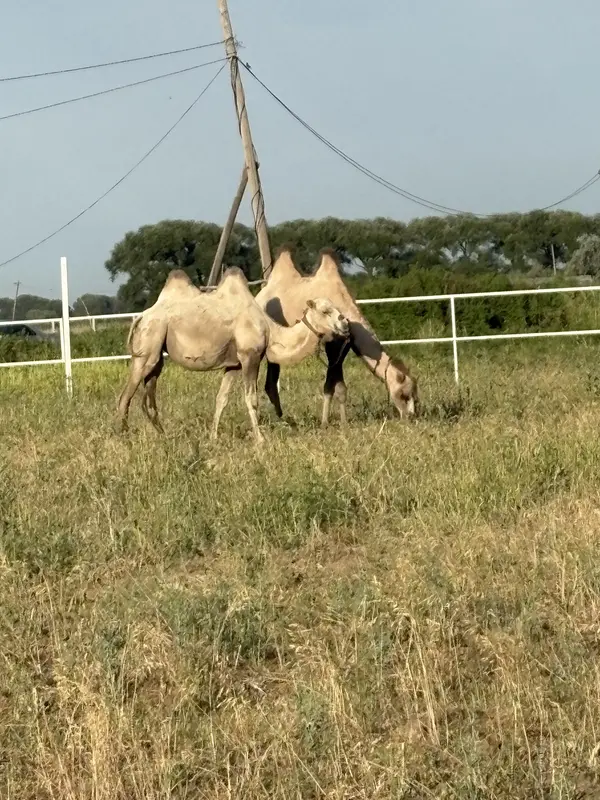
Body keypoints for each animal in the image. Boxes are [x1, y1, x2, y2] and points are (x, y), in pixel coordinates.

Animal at [116, 267, 349, 443]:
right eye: (326, 311)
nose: (345, 323)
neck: (269, 329)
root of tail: (141, 317)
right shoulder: (250, 357)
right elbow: (251, 398)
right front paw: (260, 439)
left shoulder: (234, 365)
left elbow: (222, 398)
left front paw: (213, 437)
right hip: (149, 344)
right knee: (125, 395)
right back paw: (124, 436)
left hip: (156, 352)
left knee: (149, 393)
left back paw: (163, 435)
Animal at [255, 247, 418, 426]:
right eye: (404, 394)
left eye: (415, 396)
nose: (411, 416)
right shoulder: (331, 343)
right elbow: (329, 387)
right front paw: (325, 423)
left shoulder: (343, 345)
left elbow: (339, 387)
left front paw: (344, 422)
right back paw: (278, 418)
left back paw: (280, 416)